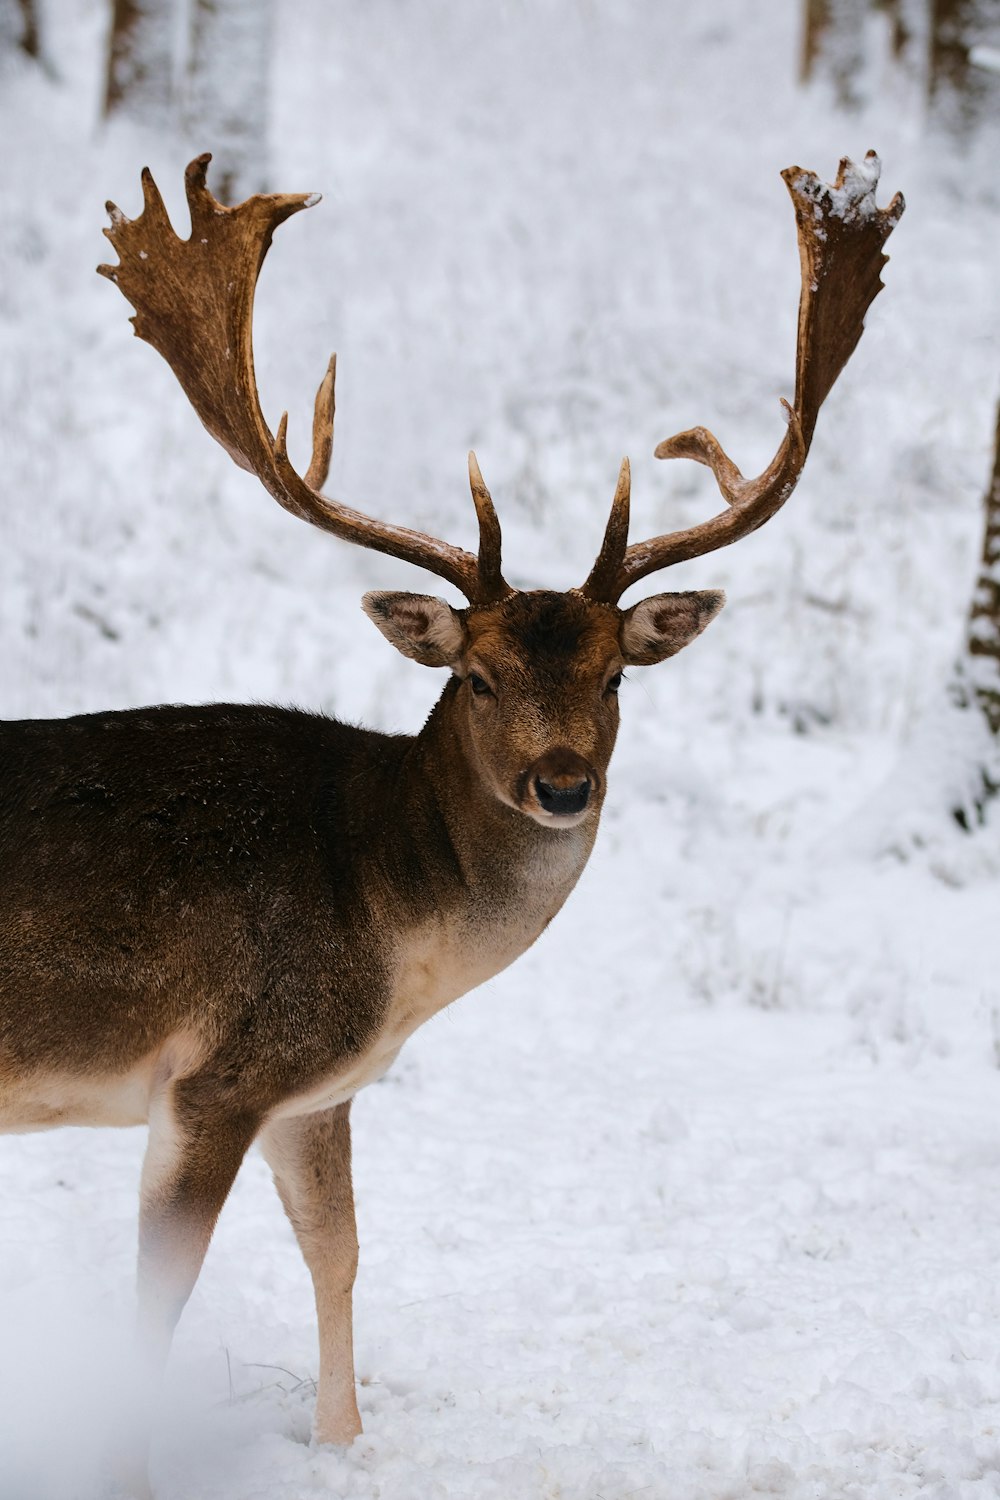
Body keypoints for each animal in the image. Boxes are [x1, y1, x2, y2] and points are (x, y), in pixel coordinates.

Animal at [0, 152, 905, 1488]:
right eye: (476, 677)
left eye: (616, 678)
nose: (563, 783)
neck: (389, 929)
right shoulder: (219, 1071)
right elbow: (159, 1300)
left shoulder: (317, 1090)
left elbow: (339, 1253)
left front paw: (345, 1445)